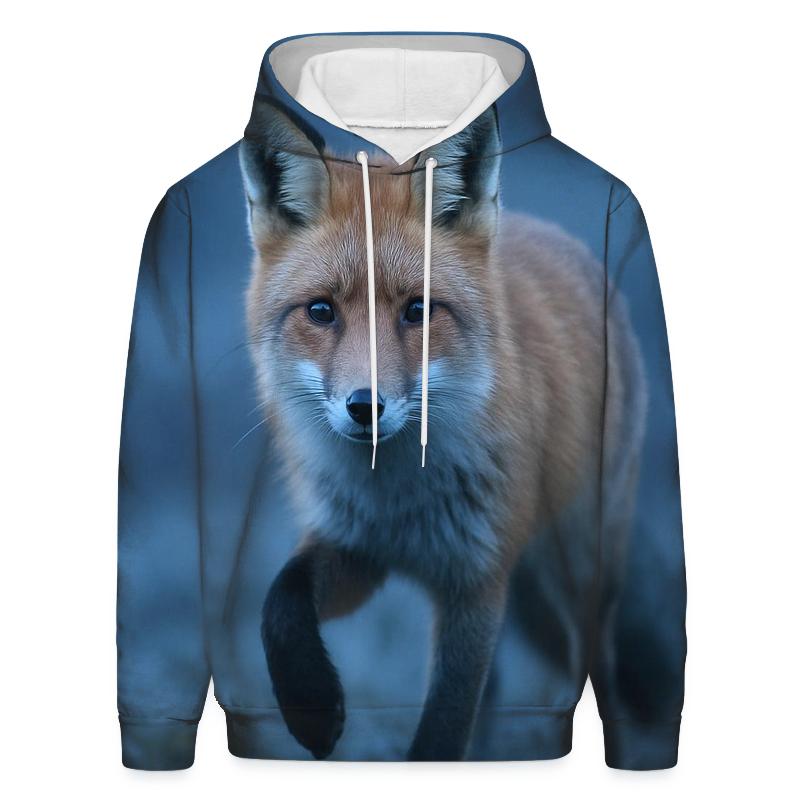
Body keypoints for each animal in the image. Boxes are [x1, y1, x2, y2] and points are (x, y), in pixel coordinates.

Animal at [239, 99, 645, 761]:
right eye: (321, 311)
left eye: (418, 311)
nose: (365, 406)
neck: (402, 500)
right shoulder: (359, 551)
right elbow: (282, 597)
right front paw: (310, 704)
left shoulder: (476, 581)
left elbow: (444, 727)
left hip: (577, 569)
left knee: (598, 660)